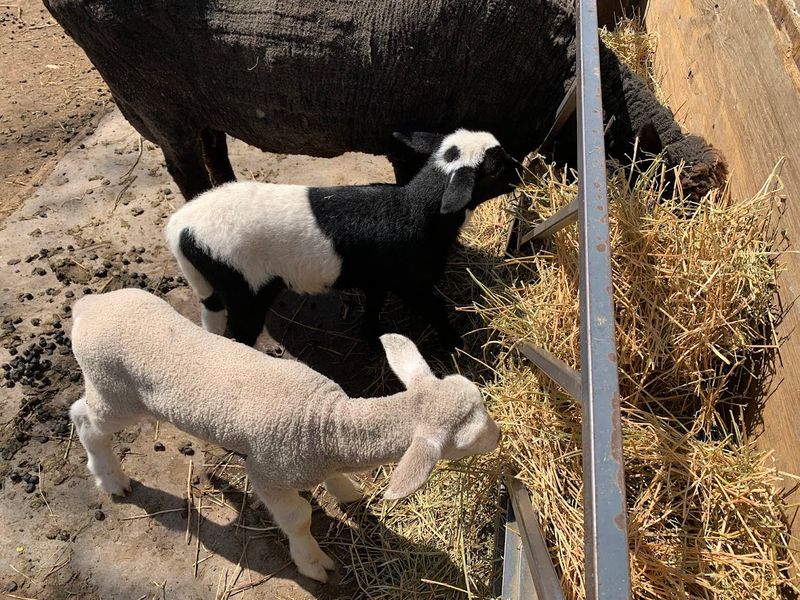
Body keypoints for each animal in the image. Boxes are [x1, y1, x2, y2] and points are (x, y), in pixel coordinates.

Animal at [69, 288, 501, 582]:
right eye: (467, 441)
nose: (498, 439)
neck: (327, 423)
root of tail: (87, 306)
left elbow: (334, 482)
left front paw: (347, 491)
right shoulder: (268, 473)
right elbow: (297, 517)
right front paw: (312, 561)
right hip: (114, 390)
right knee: (84, 418)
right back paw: (111, 478)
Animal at [164, 128, 516, 349]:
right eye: (497, 168)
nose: (520, 173)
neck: (414, 210)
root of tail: (182, 228)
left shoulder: (377, 278)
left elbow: (373, 307)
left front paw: (372, 339)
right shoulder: (411, 283)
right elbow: (435, 311)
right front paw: (458, 346)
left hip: (213, 282)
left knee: (212, 318)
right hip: (244, 288)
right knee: (238, 335)